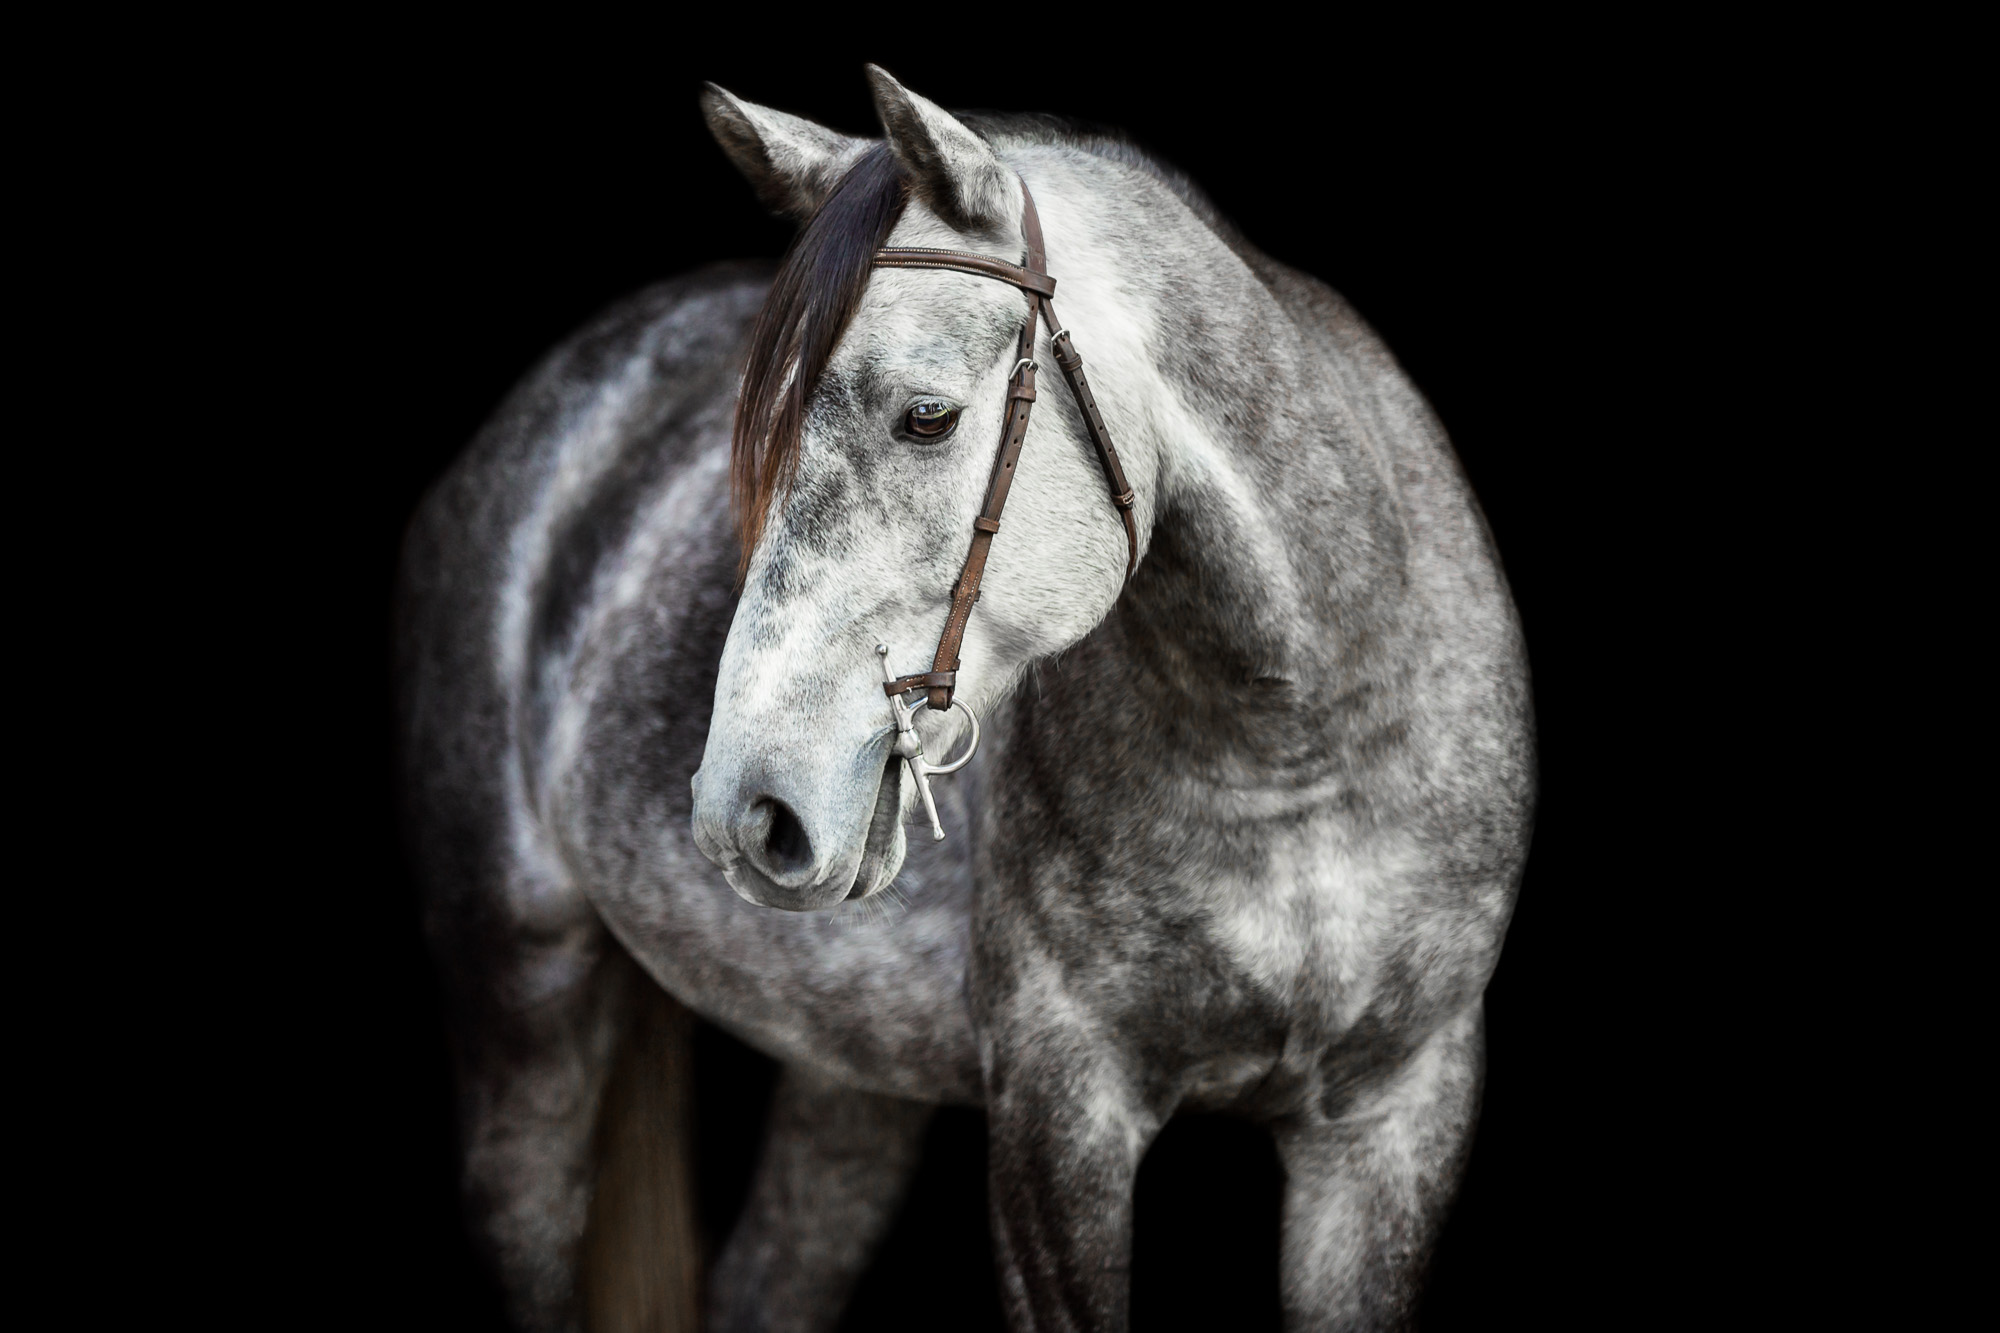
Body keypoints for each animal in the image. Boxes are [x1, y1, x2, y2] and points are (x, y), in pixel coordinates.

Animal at [396, 65, 1534, 1333]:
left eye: (926, 416)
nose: (747, 813)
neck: (1297, 749)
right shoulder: (1058, 1113)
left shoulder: (1393, 1118)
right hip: (524, 1013)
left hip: (844, 1075)